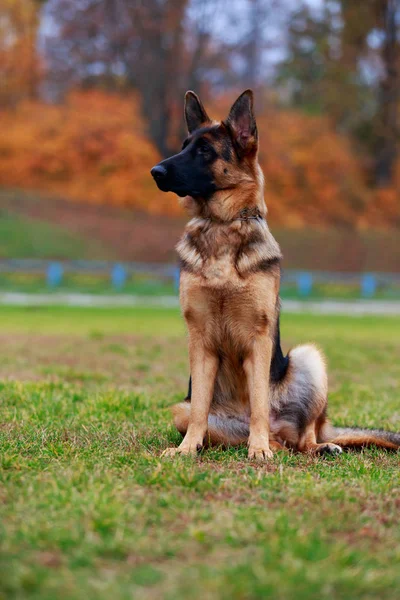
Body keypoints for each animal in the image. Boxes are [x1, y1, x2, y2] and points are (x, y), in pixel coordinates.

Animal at [151, 89, 400, 460]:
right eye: (184, 145)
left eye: (205, 151)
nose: (155, 171)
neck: (223, 226)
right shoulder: (200, 339)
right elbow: (199, 410)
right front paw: (186, 449)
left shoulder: (259, 337)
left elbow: (258, 402)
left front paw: (257, 450)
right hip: (181, 410)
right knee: (273, 439)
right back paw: (264, 444)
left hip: (308, 359)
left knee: (302, 436)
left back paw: (309, 445)